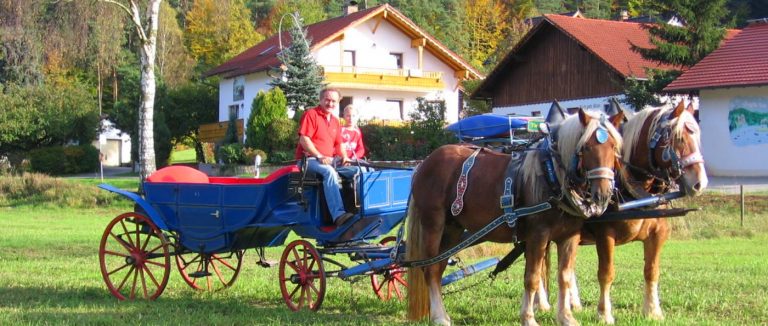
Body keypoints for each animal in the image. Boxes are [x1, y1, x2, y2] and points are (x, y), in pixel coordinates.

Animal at [404, 110, 620, 326]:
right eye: (586, 147)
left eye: (614, 147)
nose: (603, 194)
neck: (551, 176)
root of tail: (425, 163)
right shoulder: (538, 235)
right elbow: (532, 278)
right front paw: (528, 318)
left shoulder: (570, 235)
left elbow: (564, 276)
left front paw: (566, 317)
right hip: (433, 223)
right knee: (430, 269)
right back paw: (439, 317)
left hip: (452, 229)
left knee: (440, 267)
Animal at [568, 101, 708, 324]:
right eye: (678, 138)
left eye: (696, 136)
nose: (699, 183)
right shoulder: (604, 235)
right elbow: (606, 273)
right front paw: (604, 314)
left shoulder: (658, 234)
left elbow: (652, 270)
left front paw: (652, 311)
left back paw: (571, 303)